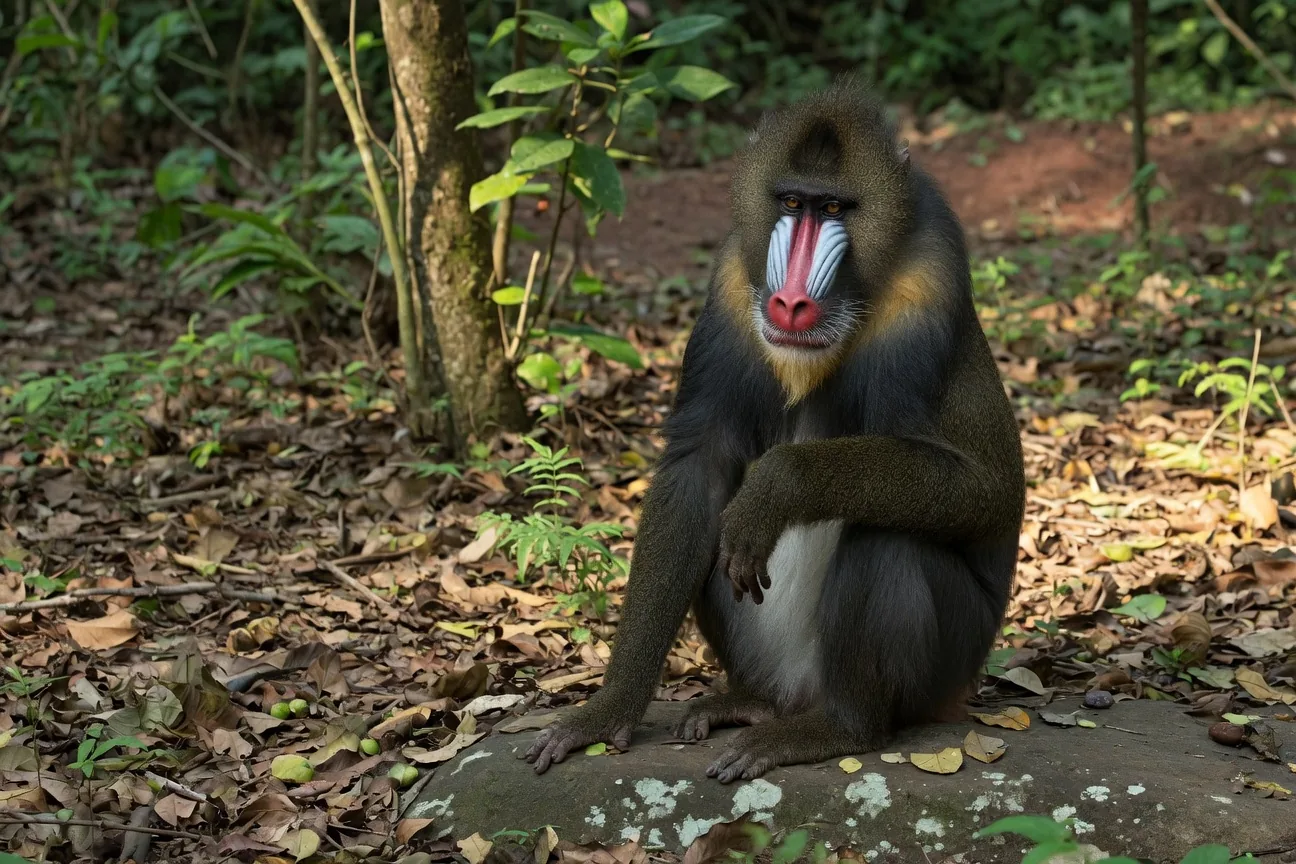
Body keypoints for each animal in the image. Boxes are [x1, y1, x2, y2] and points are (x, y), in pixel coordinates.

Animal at [525, 81, 1026, 783]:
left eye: (834, 208)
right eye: (791, 203)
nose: (791, 303)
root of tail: (799, 693)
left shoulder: (927, 287)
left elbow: (981, 487)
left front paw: (775, 489)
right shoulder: (733, 284)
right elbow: (701, 466)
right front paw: (608, 708)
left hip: (945, 669)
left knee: (887, 536)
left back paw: (834, 728)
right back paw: (749, 704)